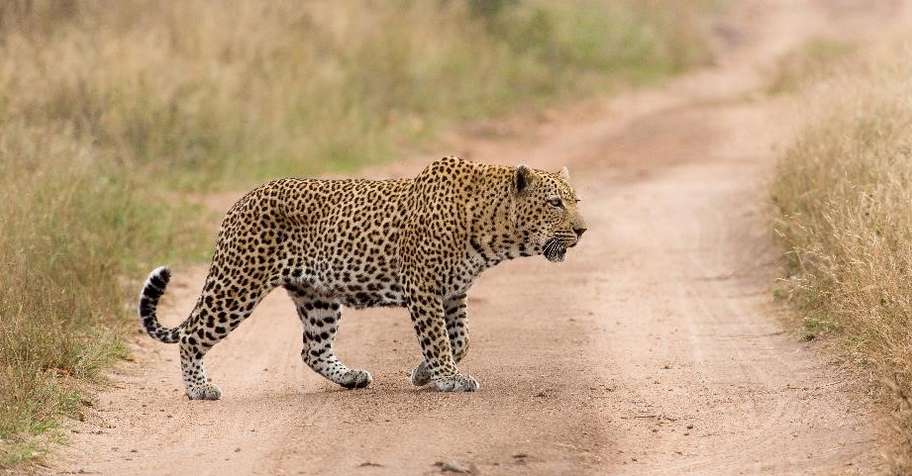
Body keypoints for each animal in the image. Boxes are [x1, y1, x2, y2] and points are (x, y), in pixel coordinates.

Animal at [138, 156, 587, 399]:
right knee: (193, 335)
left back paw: (351, 377)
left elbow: (460, 339)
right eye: (554, 203)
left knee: (312, 350)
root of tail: (238, 202)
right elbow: (439, 339)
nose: (583, 229)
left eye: (576, 200)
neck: (493, 228)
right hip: (237, 283)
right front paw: (447, 378)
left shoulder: (454, 292)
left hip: (317, 296)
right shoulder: (423, 288)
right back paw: (199, 389)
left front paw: (425, 373)